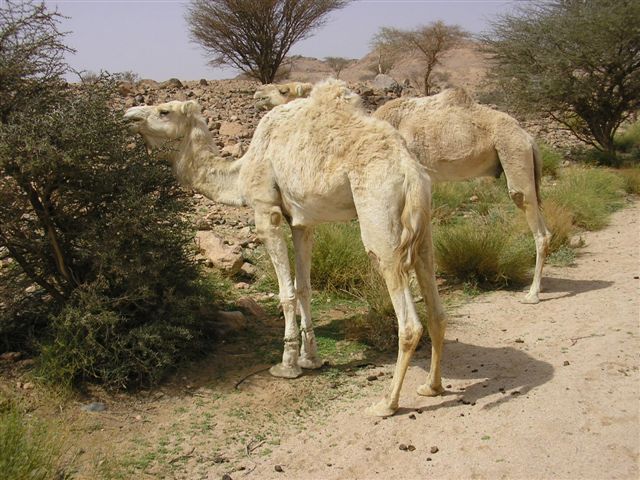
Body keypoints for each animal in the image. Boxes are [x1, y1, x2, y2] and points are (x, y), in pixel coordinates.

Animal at [124, 79, 444, 416]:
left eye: (164, 111)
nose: (128, 116)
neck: (241, 171)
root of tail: (411, 171)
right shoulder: (302, 222)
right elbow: (304, 288)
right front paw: (310, 358)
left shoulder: (267, 212)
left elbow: (286, 293)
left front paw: (287, 364)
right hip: (421, 226)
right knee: (435, 304)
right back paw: (431, 387)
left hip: (379, 214)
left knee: (408, 320)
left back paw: (386, 403)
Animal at [252, 85, 552, 304]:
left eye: (283, 90)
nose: (257, 95)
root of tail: (529, 138)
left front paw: (416, 293)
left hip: (513, 152)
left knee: (533, 218)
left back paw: (532, 294)